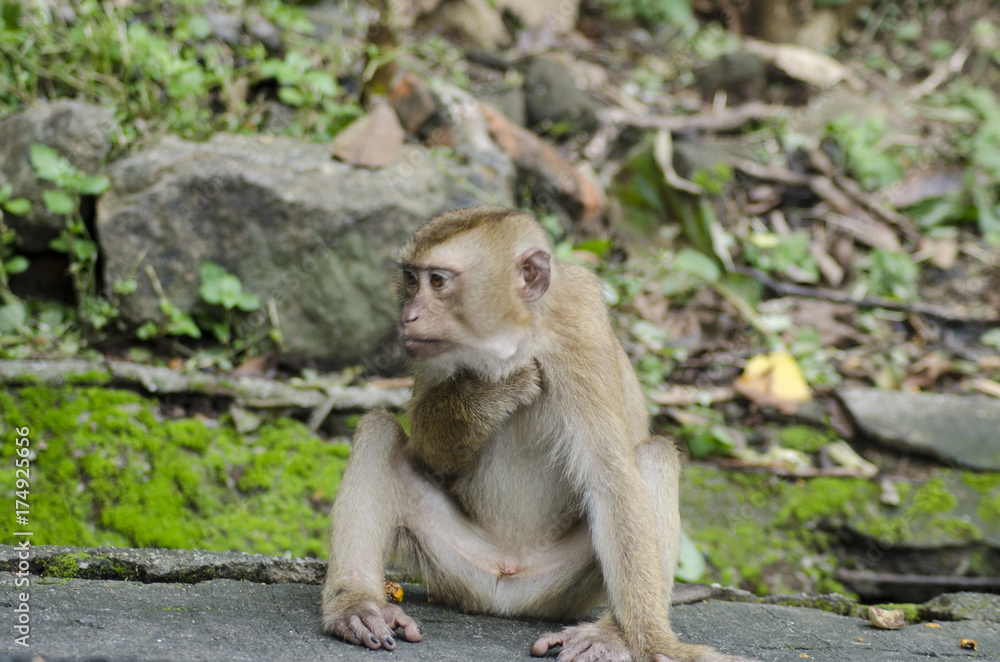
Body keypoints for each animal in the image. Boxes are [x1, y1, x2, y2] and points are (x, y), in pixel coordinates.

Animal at [320, 208, 744, 662]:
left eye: (438, 281)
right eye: (411, 279)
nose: (407, 317)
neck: (520, 334)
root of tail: (506, 594)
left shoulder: (581, 329)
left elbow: (612, 478)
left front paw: (653, 641)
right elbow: (432, 456)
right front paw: (487, 393)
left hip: (564, 588)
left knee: (655, 456)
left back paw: (611, 633)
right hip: (456, 565)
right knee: (378, 431)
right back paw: (357, 605)